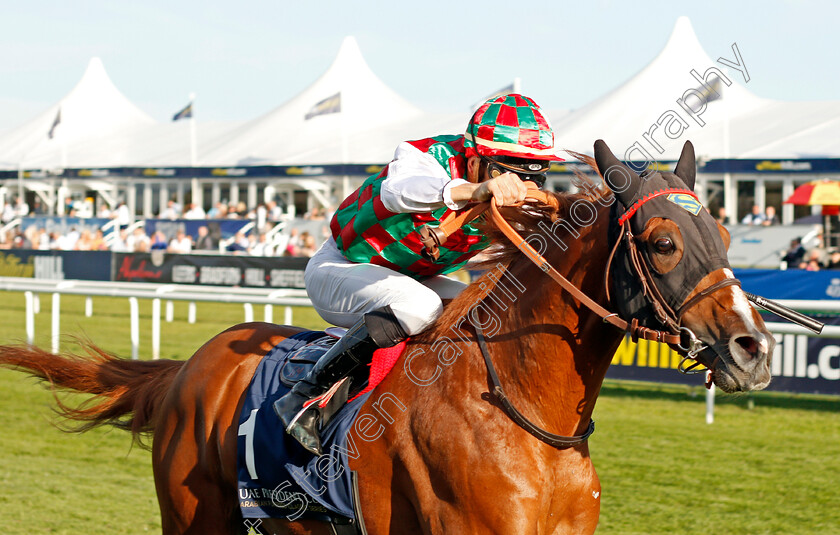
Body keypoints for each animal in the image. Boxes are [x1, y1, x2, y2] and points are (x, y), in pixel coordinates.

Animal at [0, 140, 776, 532]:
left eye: (725, 232)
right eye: (663, 241)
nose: (753, 347)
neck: (524, 412)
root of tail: (191, 365)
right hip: (196, 518)